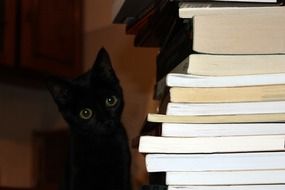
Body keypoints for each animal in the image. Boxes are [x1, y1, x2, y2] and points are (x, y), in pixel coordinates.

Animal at [46, 48, 131, 190]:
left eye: (110, 100)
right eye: (85, 113)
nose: (106, 121)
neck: (100, 143)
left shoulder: (123, 170)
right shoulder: (75, 172)